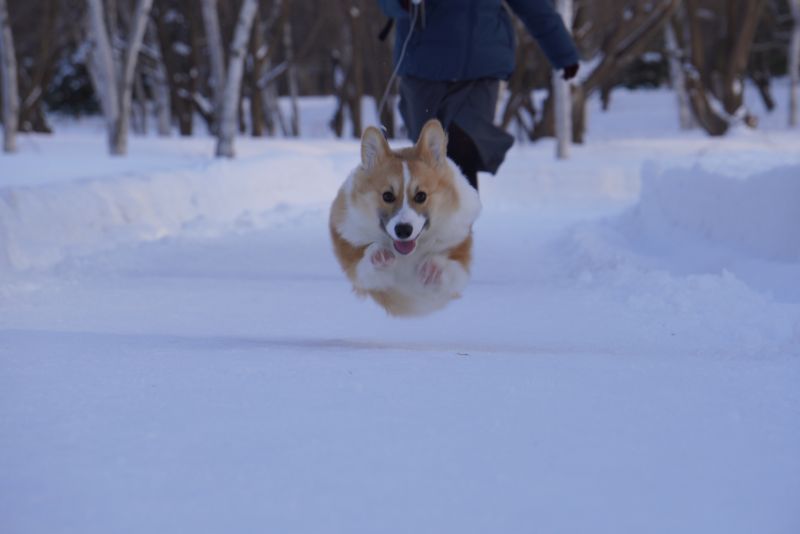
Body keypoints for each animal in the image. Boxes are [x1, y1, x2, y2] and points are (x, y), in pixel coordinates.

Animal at [326, 119, 478, 316]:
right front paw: (379, 255)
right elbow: (364, 270)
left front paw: (433, 268)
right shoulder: (358, 269)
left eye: (421, 196)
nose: (404, 230)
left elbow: (452, 273)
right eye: (387, 196)